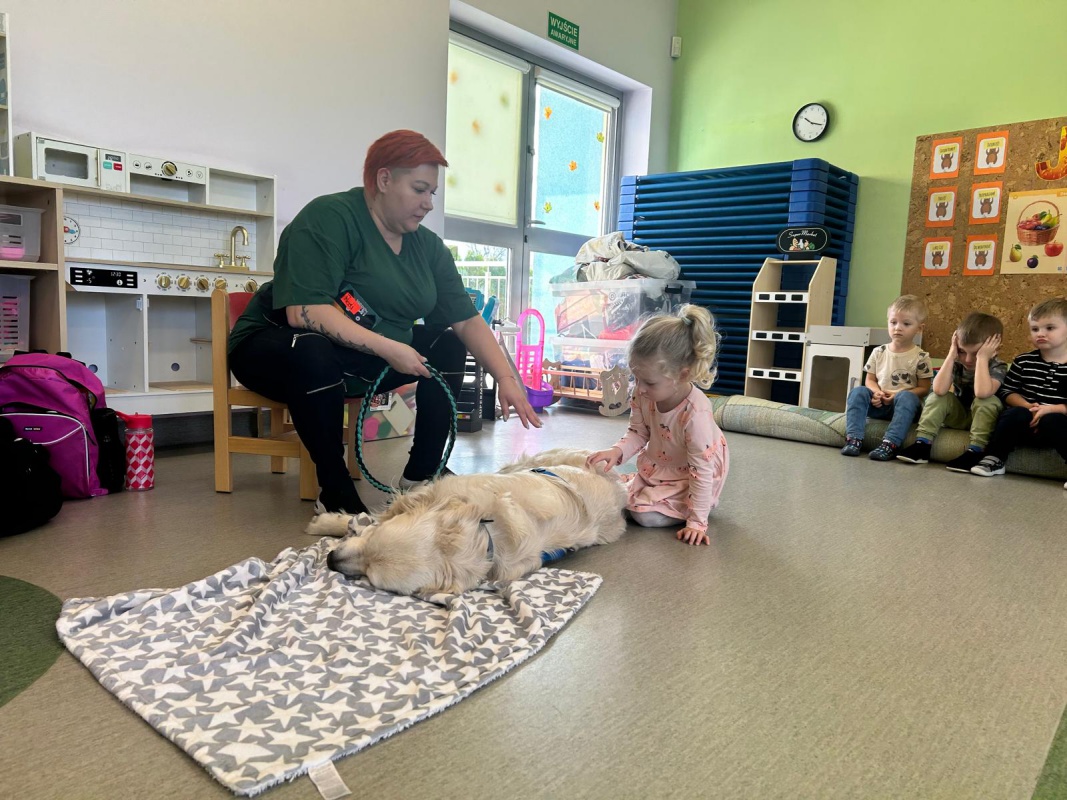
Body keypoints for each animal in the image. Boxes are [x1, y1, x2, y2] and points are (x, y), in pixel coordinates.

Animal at [313, 448, 627, 595]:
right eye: (370, 545)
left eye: (371, 576)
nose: (330, 560)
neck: (483, 531)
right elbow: (375, 516)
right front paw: (329, 522)